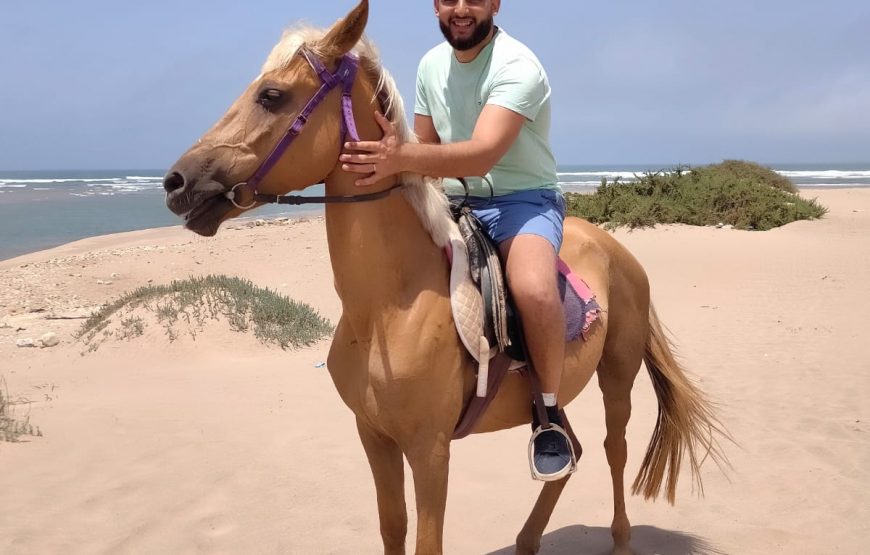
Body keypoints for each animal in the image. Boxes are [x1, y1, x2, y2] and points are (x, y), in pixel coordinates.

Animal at [163, 2, 726, 553]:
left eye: (272, 95)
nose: (176, 182)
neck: (387, 308)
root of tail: (618, 251)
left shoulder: (429, 450)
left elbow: (426, 541)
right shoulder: (374, 437)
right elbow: (393, 527)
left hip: (617, 376)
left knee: (614, 451)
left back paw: (619, 537)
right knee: (570, 456)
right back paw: (527, 539)